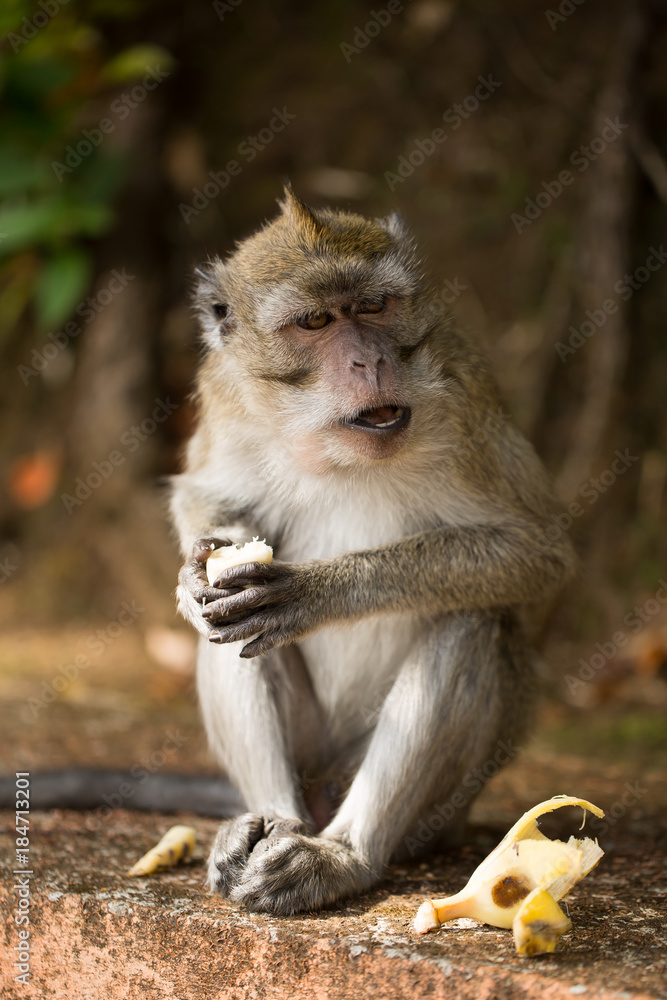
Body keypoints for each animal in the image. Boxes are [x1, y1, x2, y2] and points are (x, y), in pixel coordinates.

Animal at [168, 184, 576, 916]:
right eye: (315, 321)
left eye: (374, 307)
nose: (371, 361)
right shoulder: (225, 392)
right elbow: (203, 499)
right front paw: (194, 580)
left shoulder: (462, 395)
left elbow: (536, 552)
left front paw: (318, 591)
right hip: (311, 759)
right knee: (225, 633)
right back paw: (268, 825)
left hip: (440, 809)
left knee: (469, 624)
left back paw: (343, 855)